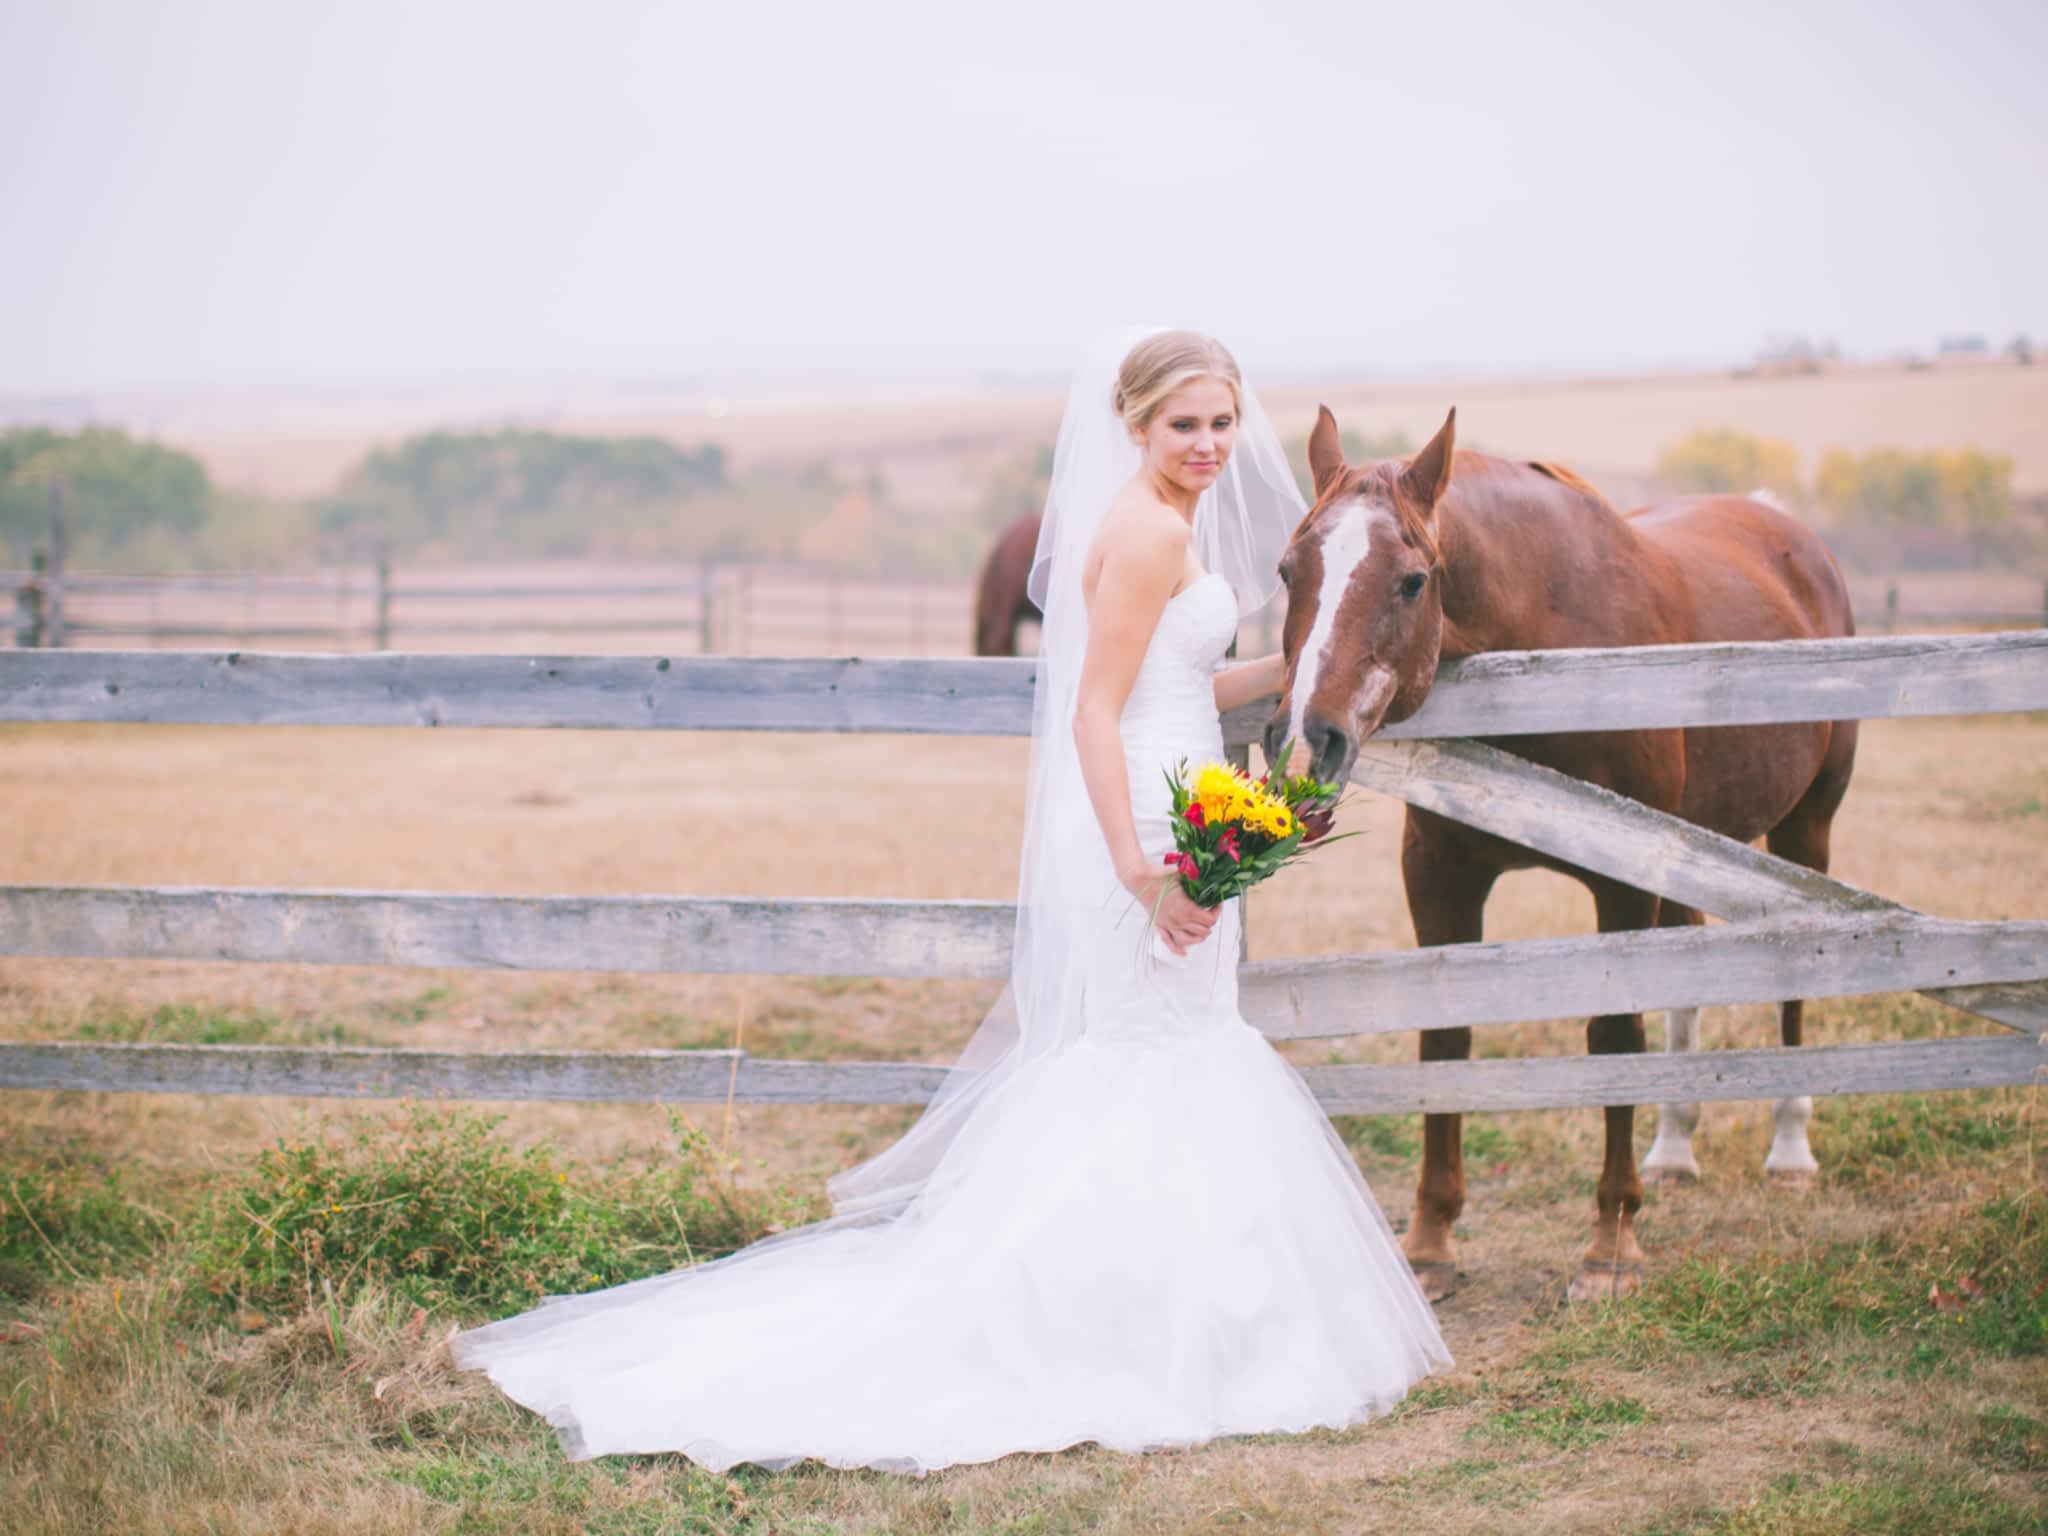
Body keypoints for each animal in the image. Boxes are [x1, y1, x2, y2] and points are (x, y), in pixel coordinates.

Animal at [1261, 405, 1859, 1302]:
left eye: (1412, 581)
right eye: (1288, 569)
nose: (1307, 744)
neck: (1549, 637)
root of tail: (1787, 532)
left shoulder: (1619, 884)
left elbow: (1613, 1035)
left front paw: (1610, 1244)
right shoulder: (1439, 874)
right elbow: (1446, 1037)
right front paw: (1430, 1240)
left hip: (1803, 833)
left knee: (1793, 990)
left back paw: (1790, 1149)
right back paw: (1673, 1148)